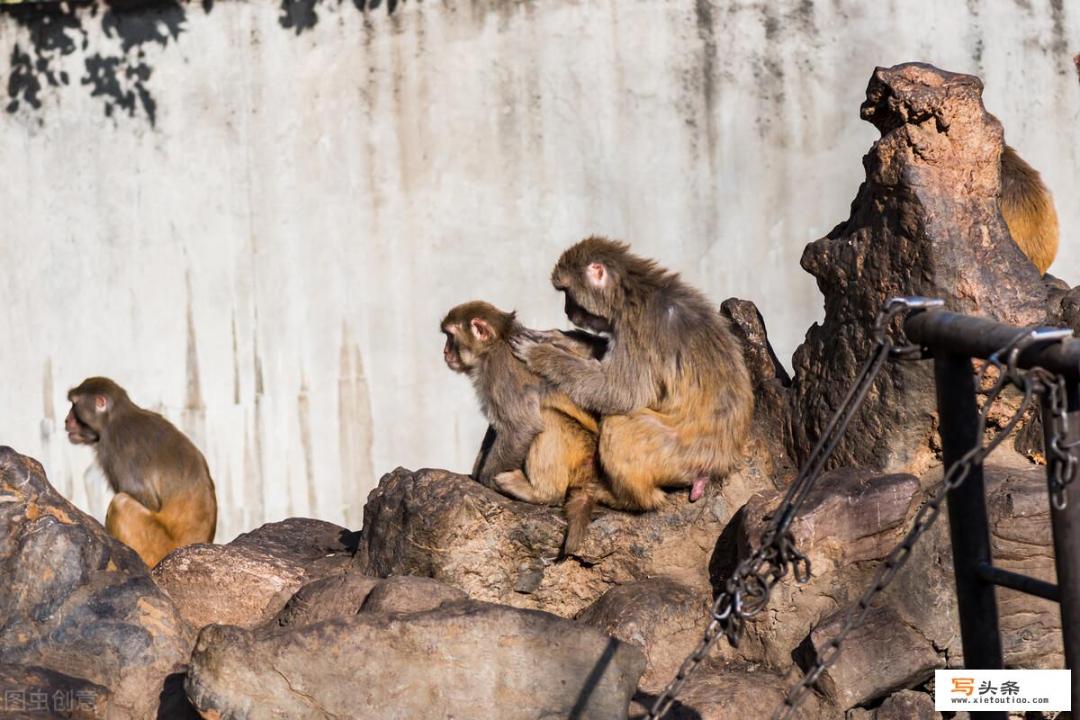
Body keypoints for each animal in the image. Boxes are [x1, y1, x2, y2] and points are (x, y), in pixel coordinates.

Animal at [64, 377, 217, 569]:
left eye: (74, 405)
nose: (66, 420)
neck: (115, 416)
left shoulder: (114, 444)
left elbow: (147, 500)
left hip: (159, 547)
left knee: (121, 502)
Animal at [511, 239, 751, 509]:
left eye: (567, 294)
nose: (566, 311)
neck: (631, 293)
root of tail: (719, 464)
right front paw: (557, 339)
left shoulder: (638, 330)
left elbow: (621, 392)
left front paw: (541, 354)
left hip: (677, 455)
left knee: (619, 424)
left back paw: (626, 499)